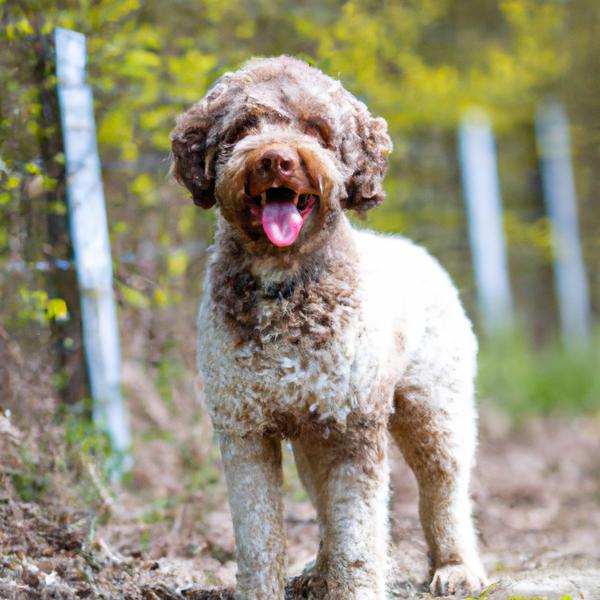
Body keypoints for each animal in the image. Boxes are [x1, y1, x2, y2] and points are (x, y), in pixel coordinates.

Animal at [171, 55, 490, 596]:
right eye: (242, 128)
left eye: (316, 128)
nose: (276, 159)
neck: (284, 286)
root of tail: (417, 251)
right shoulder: (244, 428)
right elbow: (259, 537)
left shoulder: (353, 429)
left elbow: (359, 535)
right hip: (311, 434)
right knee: (323, 502)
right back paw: (319, 573)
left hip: (434, 407)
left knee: (444, 485)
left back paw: (456, 568)